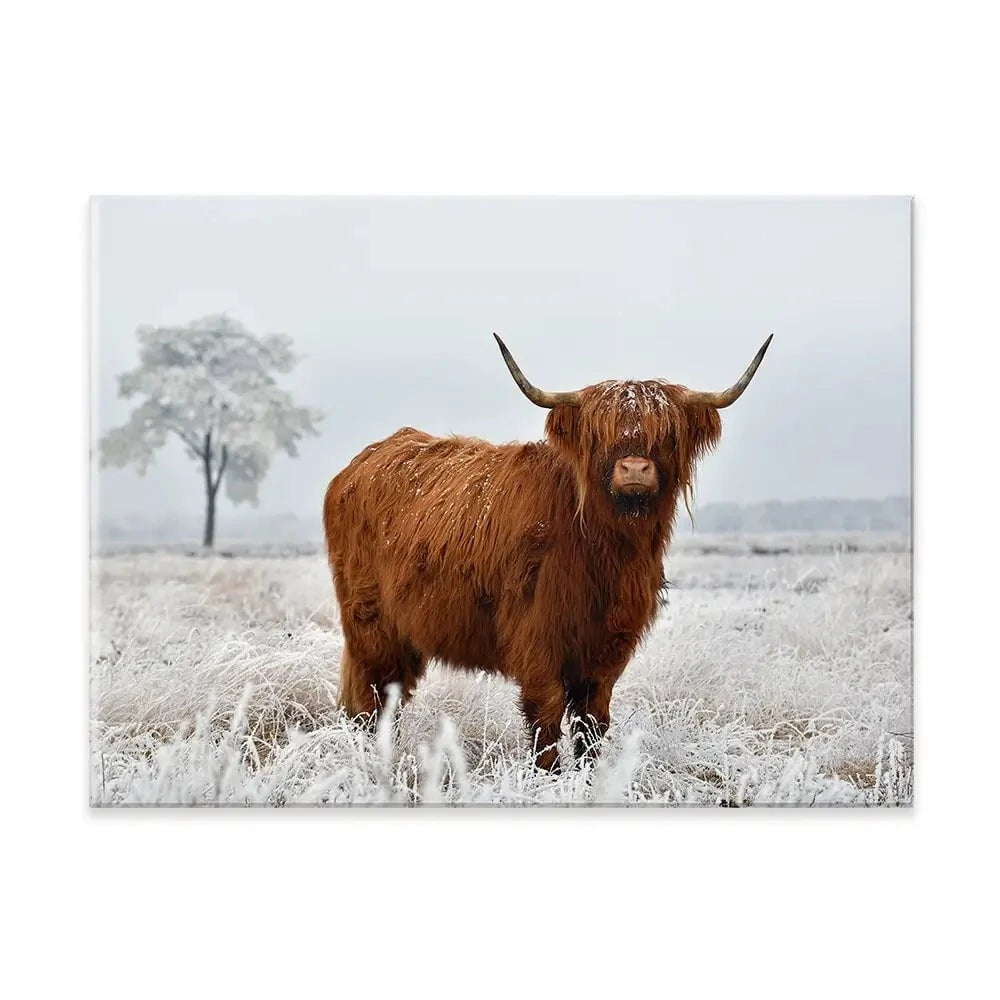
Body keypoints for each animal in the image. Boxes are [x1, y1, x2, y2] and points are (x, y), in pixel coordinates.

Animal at [323, 333, 772, 770]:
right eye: (599, 435)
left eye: (666, 435)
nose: (634, 469)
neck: (605, 552)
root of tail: (360, 463)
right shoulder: (536, 638)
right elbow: (547, 716)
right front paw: (549, 777)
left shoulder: (608, 647)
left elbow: (593, 721)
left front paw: (590, 778)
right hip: (371, 626)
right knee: (371, 698)